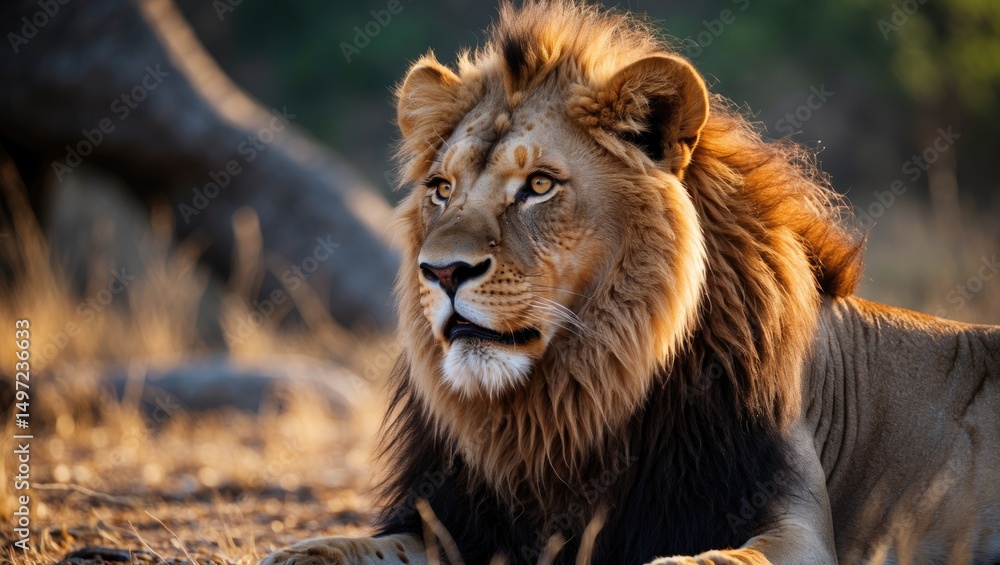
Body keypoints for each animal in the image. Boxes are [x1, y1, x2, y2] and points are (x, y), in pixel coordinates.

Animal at [263, 2, 1000, 564]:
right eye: (441, 189)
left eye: (539, 185)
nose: (442, 271)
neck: (565, 403)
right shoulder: (458, 521)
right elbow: (364, 545)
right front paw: (303, 553)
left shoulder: (793, 519)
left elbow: (727, 557)